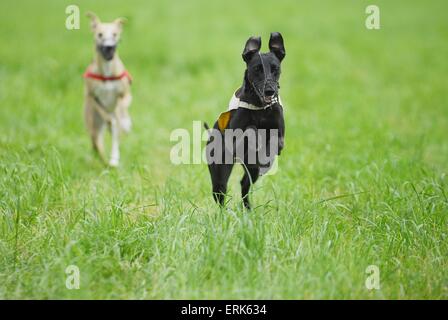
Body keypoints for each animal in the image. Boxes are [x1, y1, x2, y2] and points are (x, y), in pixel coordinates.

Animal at [205, 32, 286, 210]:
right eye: (257, 69)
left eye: (275, 69)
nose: (269, 90)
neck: (261, 109)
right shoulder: (234, 140)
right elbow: (251, 130)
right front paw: (256, 140)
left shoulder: (280, 139)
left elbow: (274, 141)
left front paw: (265, 156)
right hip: (219, 172)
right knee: (220, 193)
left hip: (251, 172)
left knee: (244, 185)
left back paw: (248, 209)